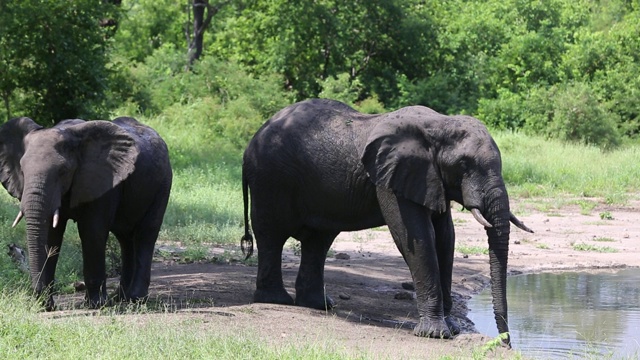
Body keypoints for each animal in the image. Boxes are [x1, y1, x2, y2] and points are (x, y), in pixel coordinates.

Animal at [0, 116, 172, 310]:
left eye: (63, 171)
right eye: (22, 170)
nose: (43, 303)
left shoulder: (103, 181)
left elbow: (92, 232)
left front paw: (96, 304)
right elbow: (52, 236)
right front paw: (47, 305)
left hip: (163, 183)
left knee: (146, 234)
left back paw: (135, 299)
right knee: (125, 238)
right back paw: (120, 297)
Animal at [240, 97, 528, 344]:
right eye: (464, 164)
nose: (506, 343)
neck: (440, 124)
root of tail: (252, 140)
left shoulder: (432, 180)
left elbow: (446, 238)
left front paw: (452, 328)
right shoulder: (395, 177)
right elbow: (417, 237)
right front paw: (435, 334)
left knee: (317, 241)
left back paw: (319, 305)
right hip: (271, 179)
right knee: (272, 235)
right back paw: (276, 300)